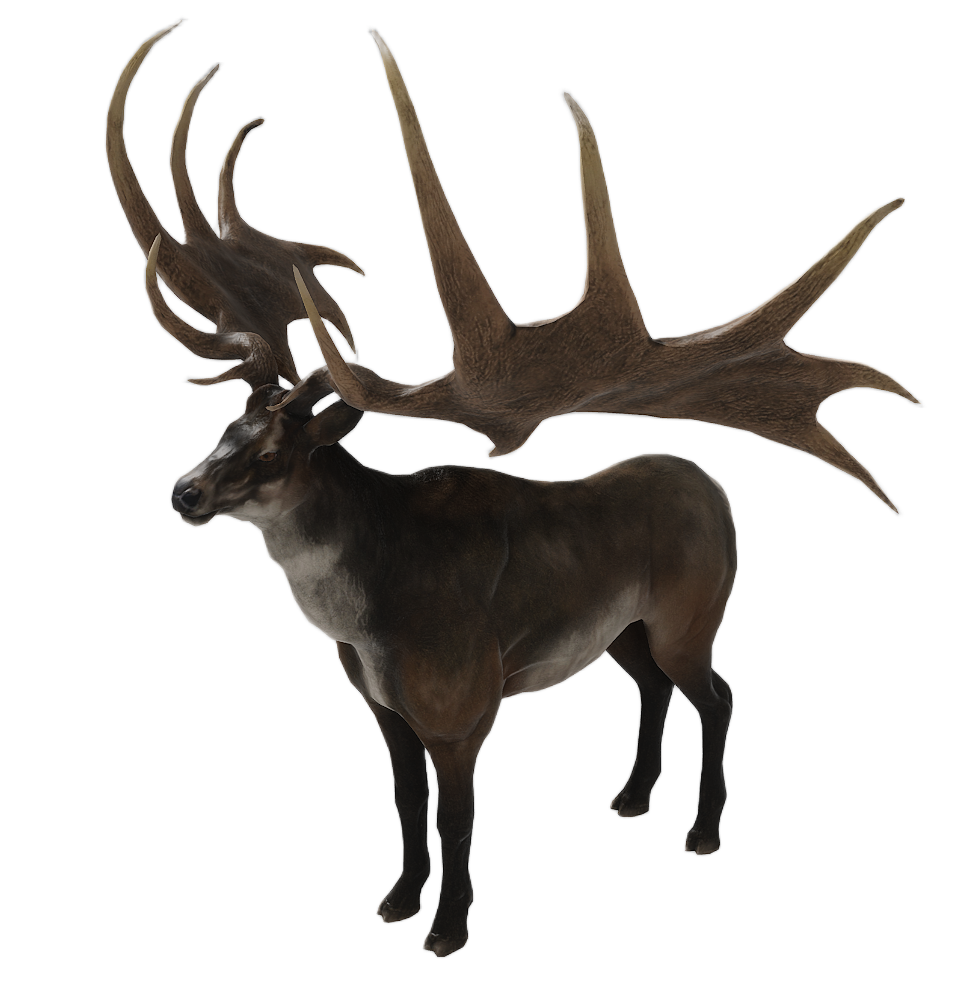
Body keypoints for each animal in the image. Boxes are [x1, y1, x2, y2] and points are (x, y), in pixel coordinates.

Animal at [107, 18, 738, 958]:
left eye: (278, 452)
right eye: (228, 426)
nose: (183, 492)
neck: (367, 617)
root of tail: (718, 491)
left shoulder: (464, 705)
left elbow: (458, 817)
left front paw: (447, 930)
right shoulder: (382, 708)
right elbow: (408, 807)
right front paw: (398, 901)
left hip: (689, 616)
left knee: (715, 692)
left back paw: (701, 831)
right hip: (623, 629)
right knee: (653, 686)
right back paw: (631, 798)